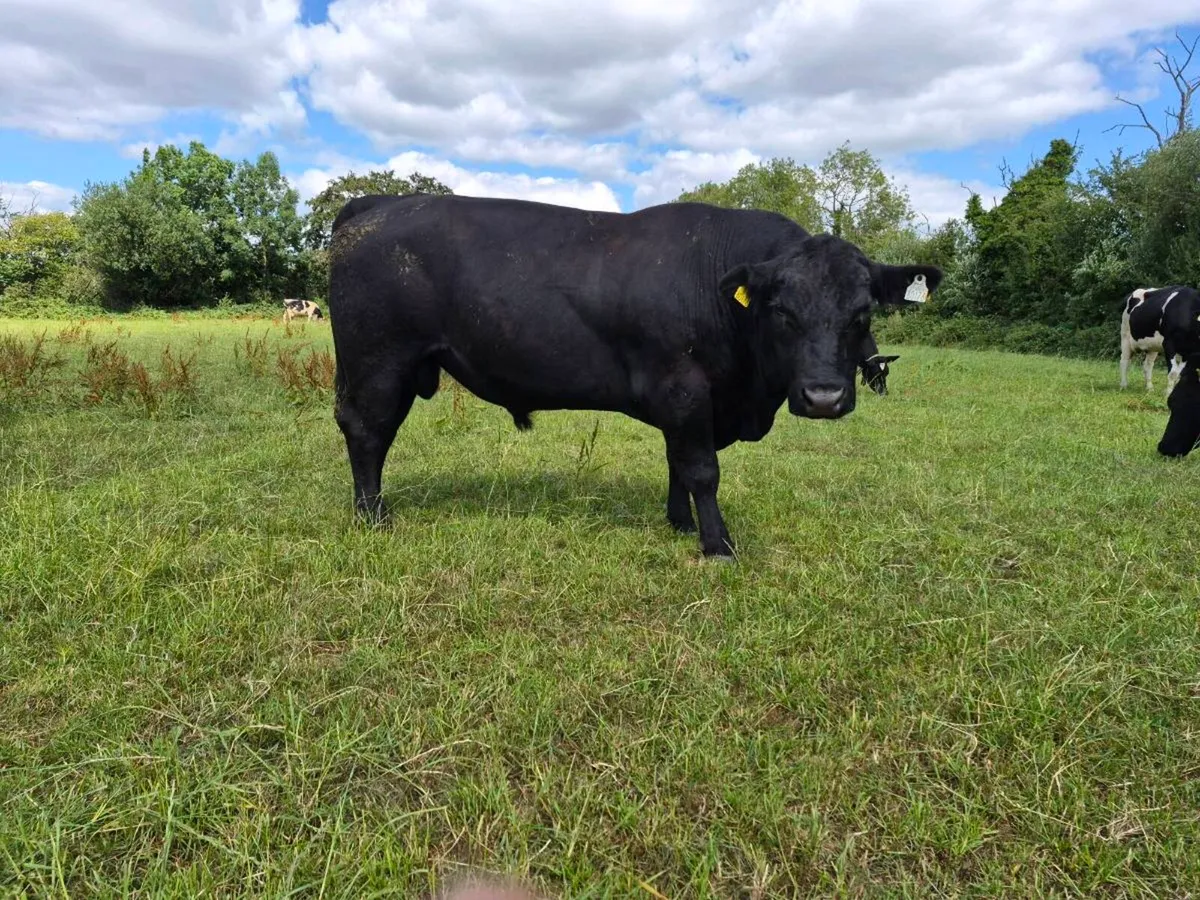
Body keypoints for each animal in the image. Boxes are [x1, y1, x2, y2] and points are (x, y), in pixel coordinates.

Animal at [328, 194, 941, 557]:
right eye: (781, 312)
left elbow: (677, 463)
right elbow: (702, 469)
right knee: (367, 431)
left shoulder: (689, 404)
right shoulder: (685, 388)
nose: (823, 397)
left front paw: (679, 523)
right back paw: (373, 516)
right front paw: (717, 544)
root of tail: (377, 205)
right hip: (379, 361)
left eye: (861, 312)